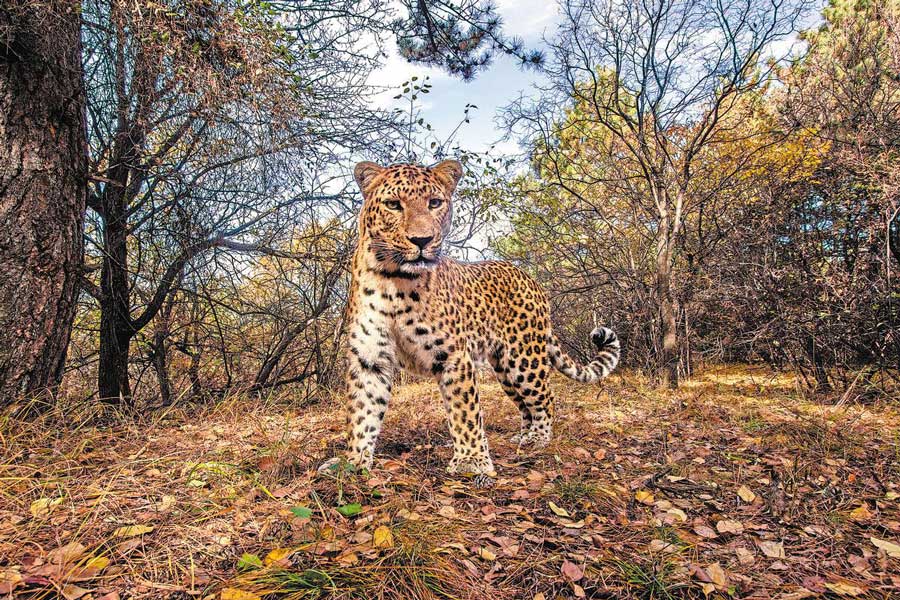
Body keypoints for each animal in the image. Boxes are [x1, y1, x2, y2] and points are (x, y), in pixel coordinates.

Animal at [319, 160, 620, 483]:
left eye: (434, 203)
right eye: (393, 205)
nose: (422, 240)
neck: (393, 279)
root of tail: (528, 277)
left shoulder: (453, 356)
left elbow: (465, 411)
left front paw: (472, 460)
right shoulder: (369, 357)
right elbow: (362, 412)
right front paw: (353, 461)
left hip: (525, 358)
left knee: (545, 398)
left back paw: (538, 439)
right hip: (504, 369)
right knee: (525, 404)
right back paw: (523, 436)